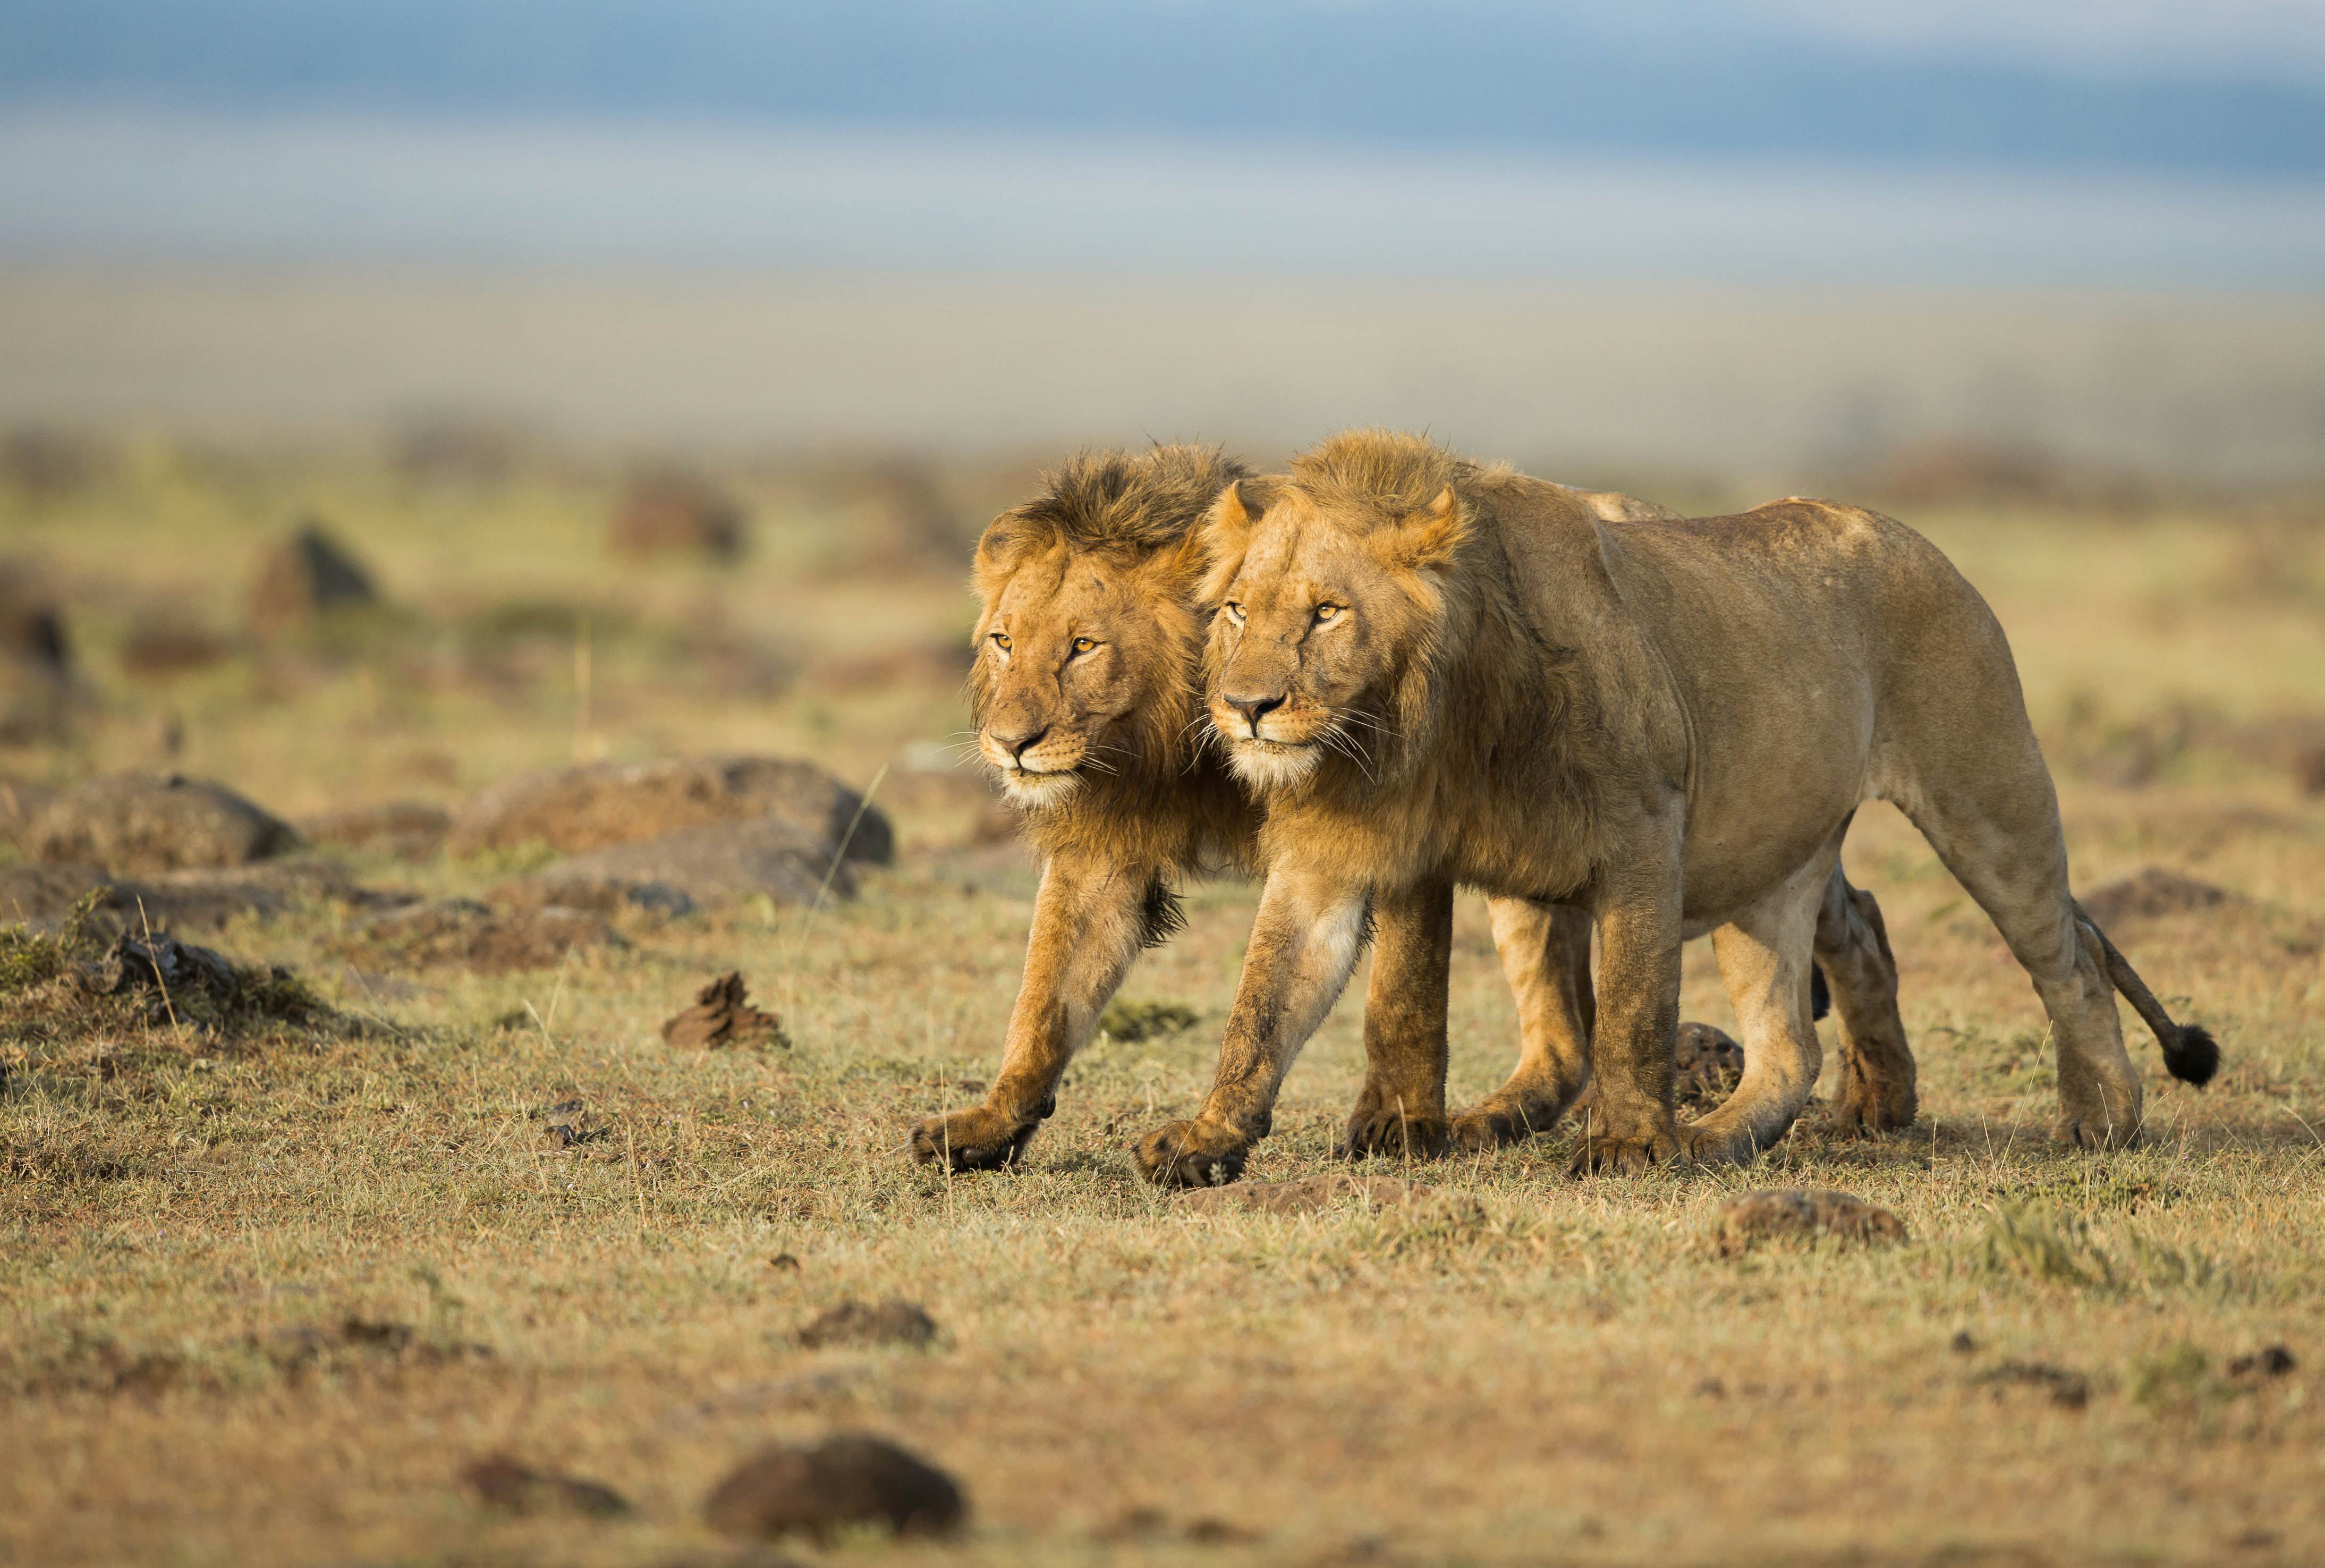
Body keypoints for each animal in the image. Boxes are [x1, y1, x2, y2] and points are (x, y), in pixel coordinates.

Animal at [1132, 429, 2214, 1185]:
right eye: (1236, 609)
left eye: (1327, 613)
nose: (1246, 707)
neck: (1415, 728)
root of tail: (1911, 534)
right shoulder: (1346, 852)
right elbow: (1287, 1003)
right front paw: (1215, 1139)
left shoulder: (1646, 835)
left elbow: (1634, 1007)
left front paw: (1625, 1146)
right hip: (1759, 862)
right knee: (1787, 1030)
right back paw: (1756, 1125)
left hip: (1983, 795)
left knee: (2065, 957)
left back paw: (2101, 1117)